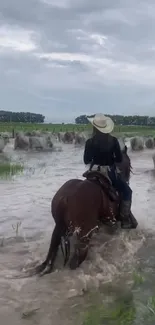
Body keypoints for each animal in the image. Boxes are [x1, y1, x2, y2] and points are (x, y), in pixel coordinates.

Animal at [34, 146, 137, 274]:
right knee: (77, 260)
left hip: (59, 227)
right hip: (84, 235)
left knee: (52, 251)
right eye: (130, 164)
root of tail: (65, 198)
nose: (127, 180)